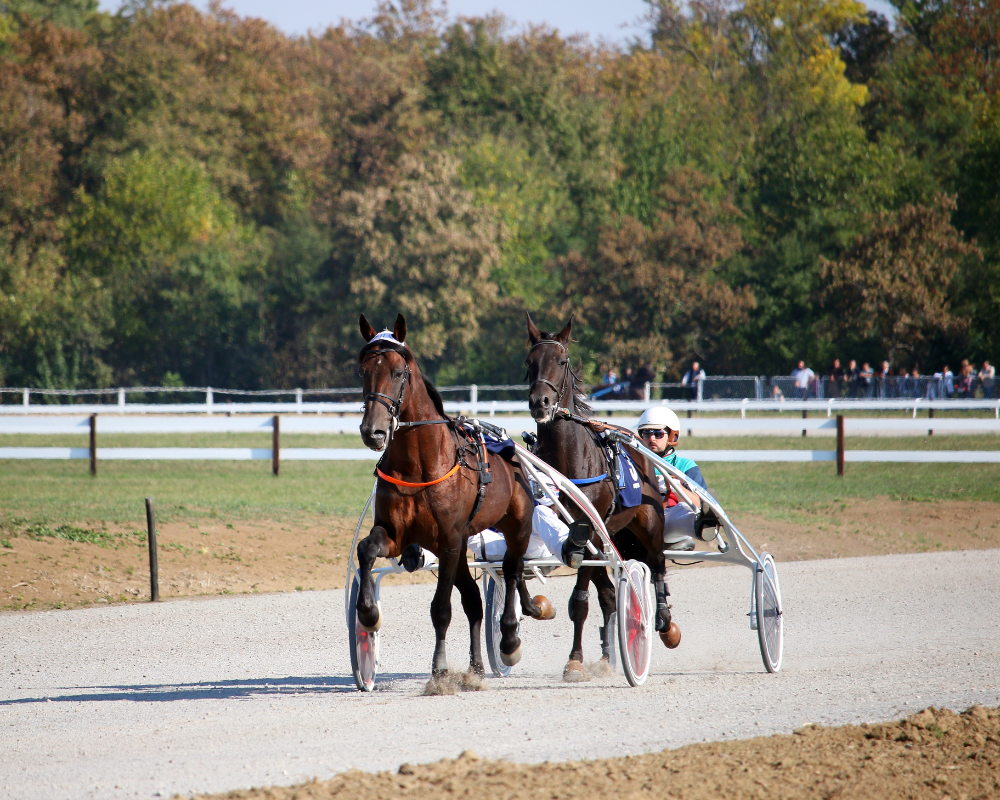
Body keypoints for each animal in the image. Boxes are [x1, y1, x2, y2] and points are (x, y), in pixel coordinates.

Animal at [352, 312, 540, 676]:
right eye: (363, 371)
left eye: (398, 372)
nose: (373, 431)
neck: (420, 465)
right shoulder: (398, 534)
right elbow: (366, 550)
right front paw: (368, 614)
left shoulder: (450, 539)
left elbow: (441, 608)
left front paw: (439, 667)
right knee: (474, 600)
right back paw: (477, 665)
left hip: (517, 526)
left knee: (511, 571)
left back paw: (509, 640)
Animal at [524, 316, 680, 680]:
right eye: (529, 361)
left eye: (562, 361)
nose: (540, 402)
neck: (568, 457)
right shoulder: (577, 535)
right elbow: (598, 594)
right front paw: (583, 658)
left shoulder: (589, 527)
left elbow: (579, 600)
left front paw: (575, 660)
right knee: (609, 592)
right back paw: (609, 656)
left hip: (649, 525)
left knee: (657, 564)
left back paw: (664, 622)